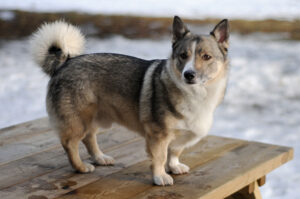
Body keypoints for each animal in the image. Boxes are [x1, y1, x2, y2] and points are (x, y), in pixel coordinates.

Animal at [30, 16, 230, 186]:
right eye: (183, 55)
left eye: (206, 57)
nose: (188, 75)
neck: (196, 93)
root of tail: (65, 62)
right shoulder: (158, 135)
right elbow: (160, 157)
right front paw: (160, 176)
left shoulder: (176, 137)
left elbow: (174, 152)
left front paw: (174, 167)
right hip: (79, 121)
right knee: (70, 143)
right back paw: (81, 167)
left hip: (95, 117)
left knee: (89, 137)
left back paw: (100, 157)